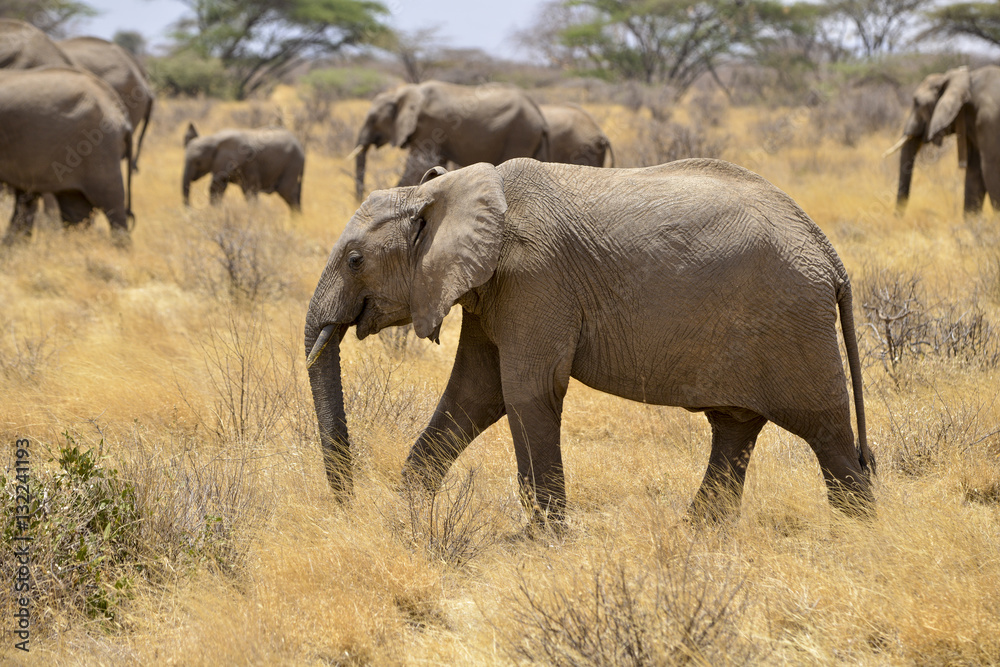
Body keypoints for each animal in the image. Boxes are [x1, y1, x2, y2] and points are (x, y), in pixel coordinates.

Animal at [350, 81, 548, 201]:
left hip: (520, 134)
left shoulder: (428, 127)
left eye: (373, 119)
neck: (405, 92)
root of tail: (539, 114)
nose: (359, 200)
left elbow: (416, 168)